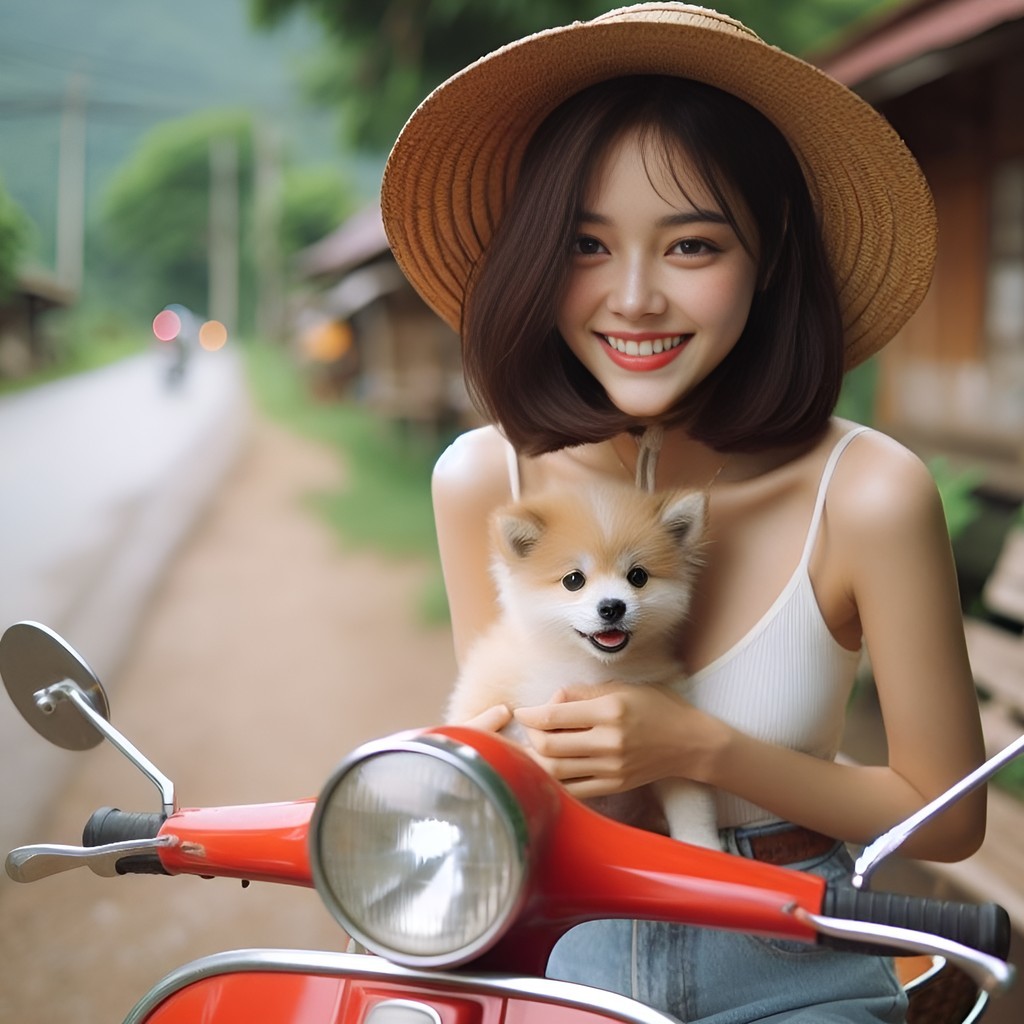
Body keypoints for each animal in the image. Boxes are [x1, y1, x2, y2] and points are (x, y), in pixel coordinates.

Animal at [448, 479, 720, 847]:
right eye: (574, 580)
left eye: (638, 576)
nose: (612, 607)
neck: (589, 670)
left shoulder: (665, 728)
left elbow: (690, 801)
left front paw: (702, 846)